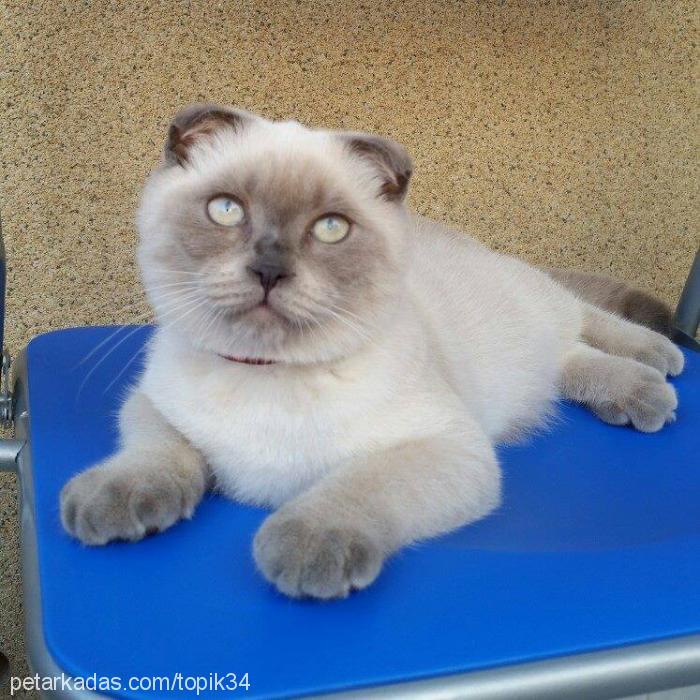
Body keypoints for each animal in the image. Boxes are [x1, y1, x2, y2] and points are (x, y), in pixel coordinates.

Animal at [60, 106, 684, 600]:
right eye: (226, 210)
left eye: (331, 228)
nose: (269, 269)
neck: (267, 375)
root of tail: (478, 245)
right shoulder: (151, 404)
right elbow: (154, 454)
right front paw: (110, 503)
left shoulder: (447, 448)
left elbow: (357, 486)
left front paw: (306, 546)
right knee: (569, 360)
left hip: (536, 309)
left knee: (586, 320)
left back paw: (657, 372)